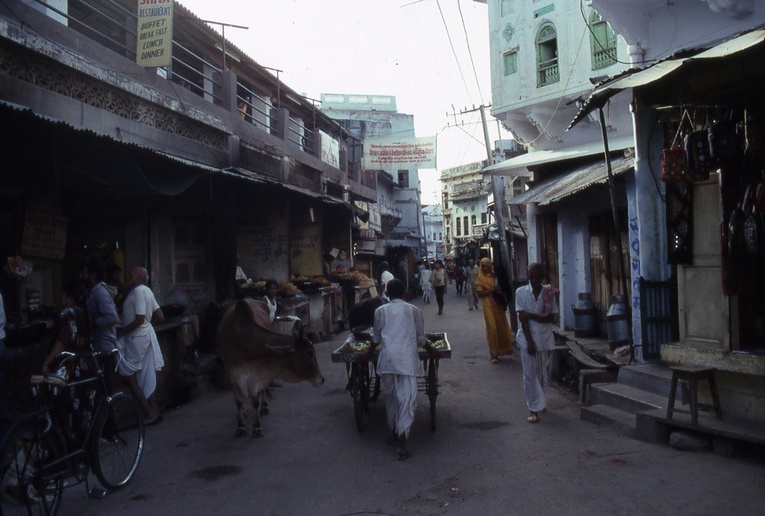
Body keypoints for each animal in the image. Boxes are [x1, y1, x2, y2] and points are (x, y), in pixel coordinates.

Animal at [216, 296, 324, 438]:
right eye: (309, 353)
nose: (321, 379)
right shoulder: (231, 374)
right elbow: (239, 402)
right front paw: (240, 427)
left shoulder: (259, 373)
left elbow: (256, 402)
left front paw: (257, 427)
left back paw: (264, 406)